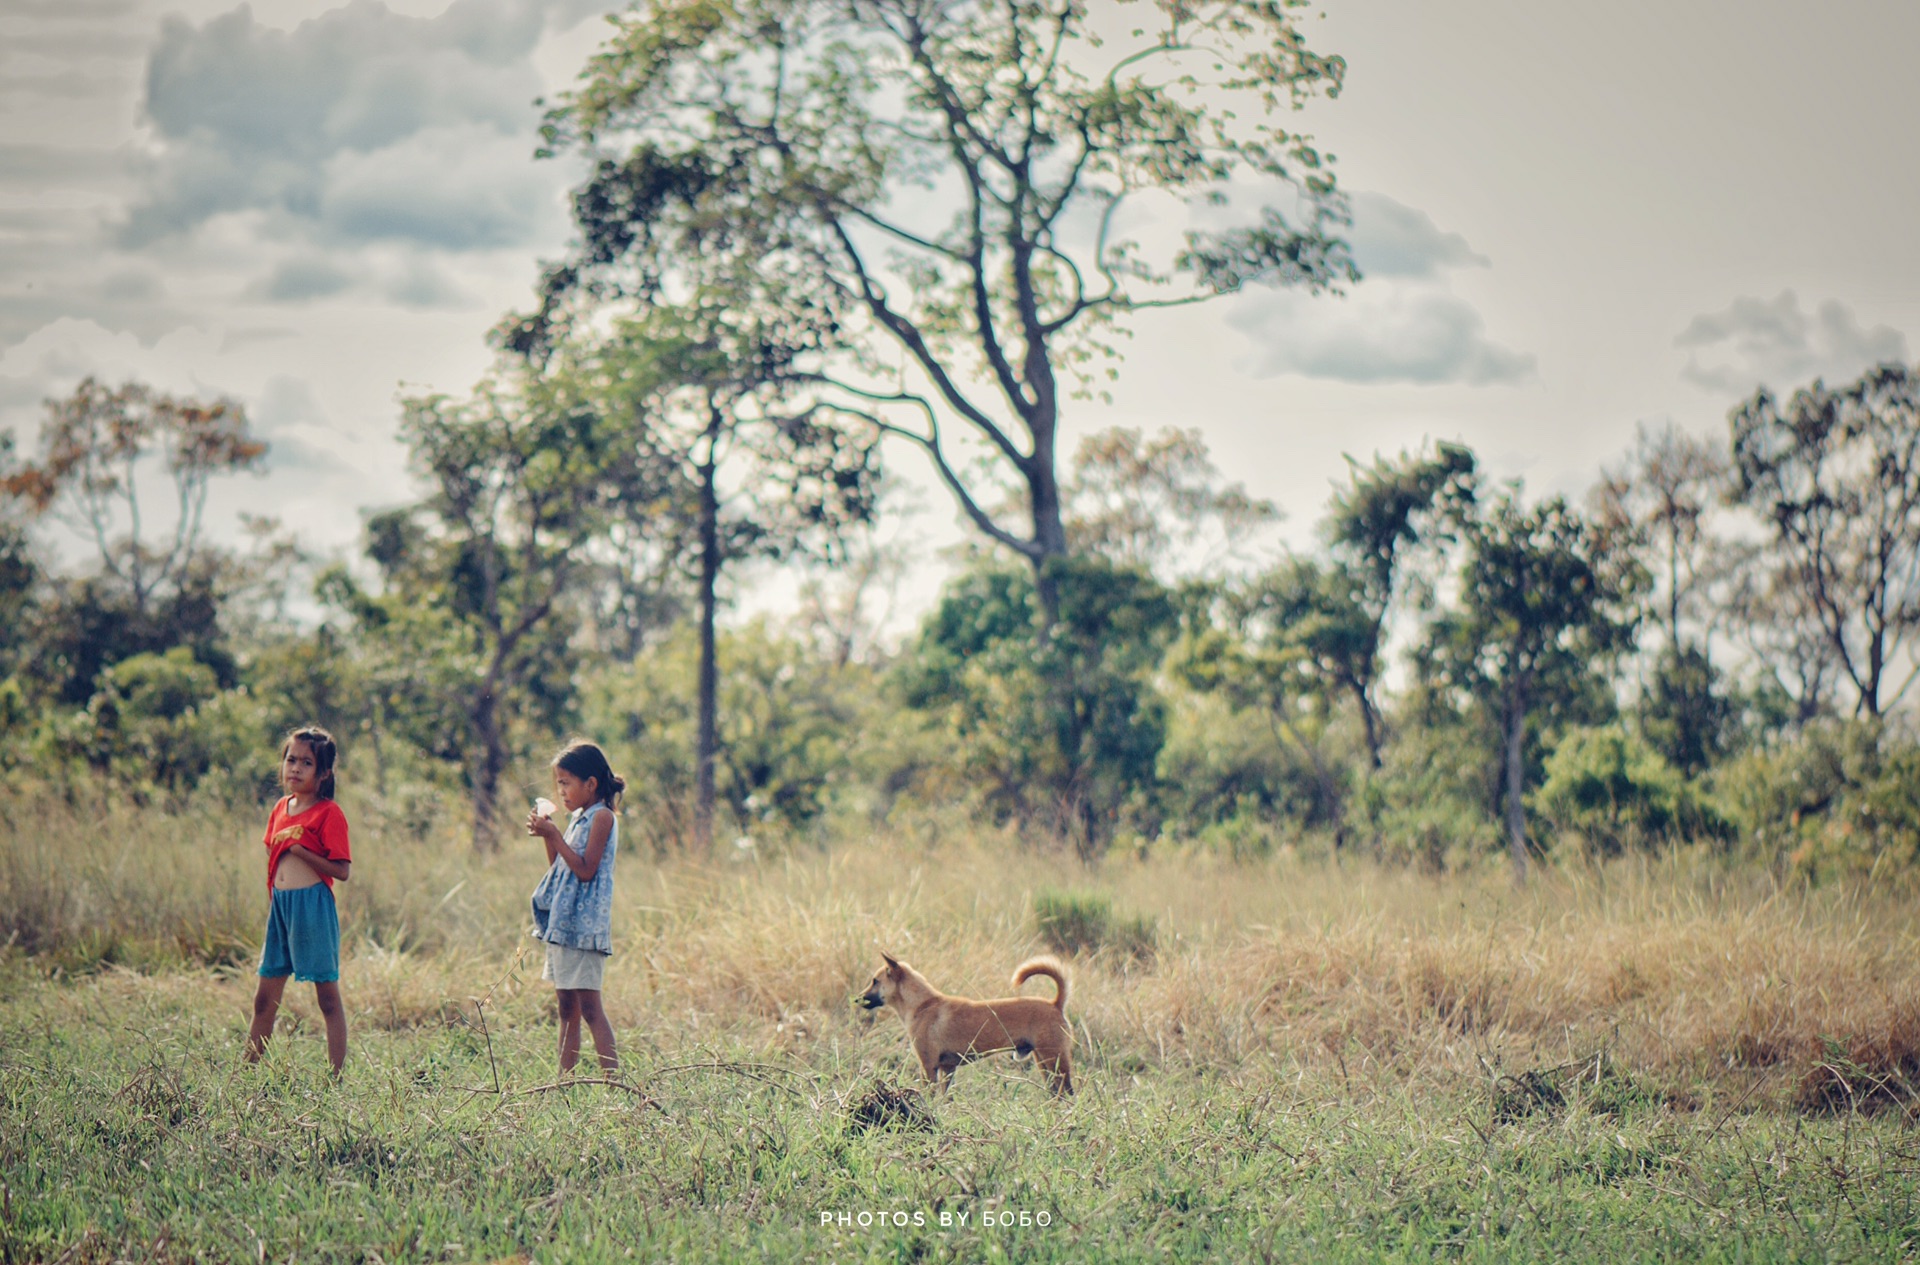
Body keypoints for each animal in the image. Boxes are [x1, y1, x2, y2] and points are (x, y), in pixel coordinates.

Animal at [860, 955, 1075, 1090]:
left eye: (874, 981)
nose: (857, 998)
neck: (922, 1005)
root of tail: (1055, 1004)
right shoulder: (947, 1068)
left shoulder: (928, 1067)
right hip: (1045, 1064)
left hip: (1055, 1061)